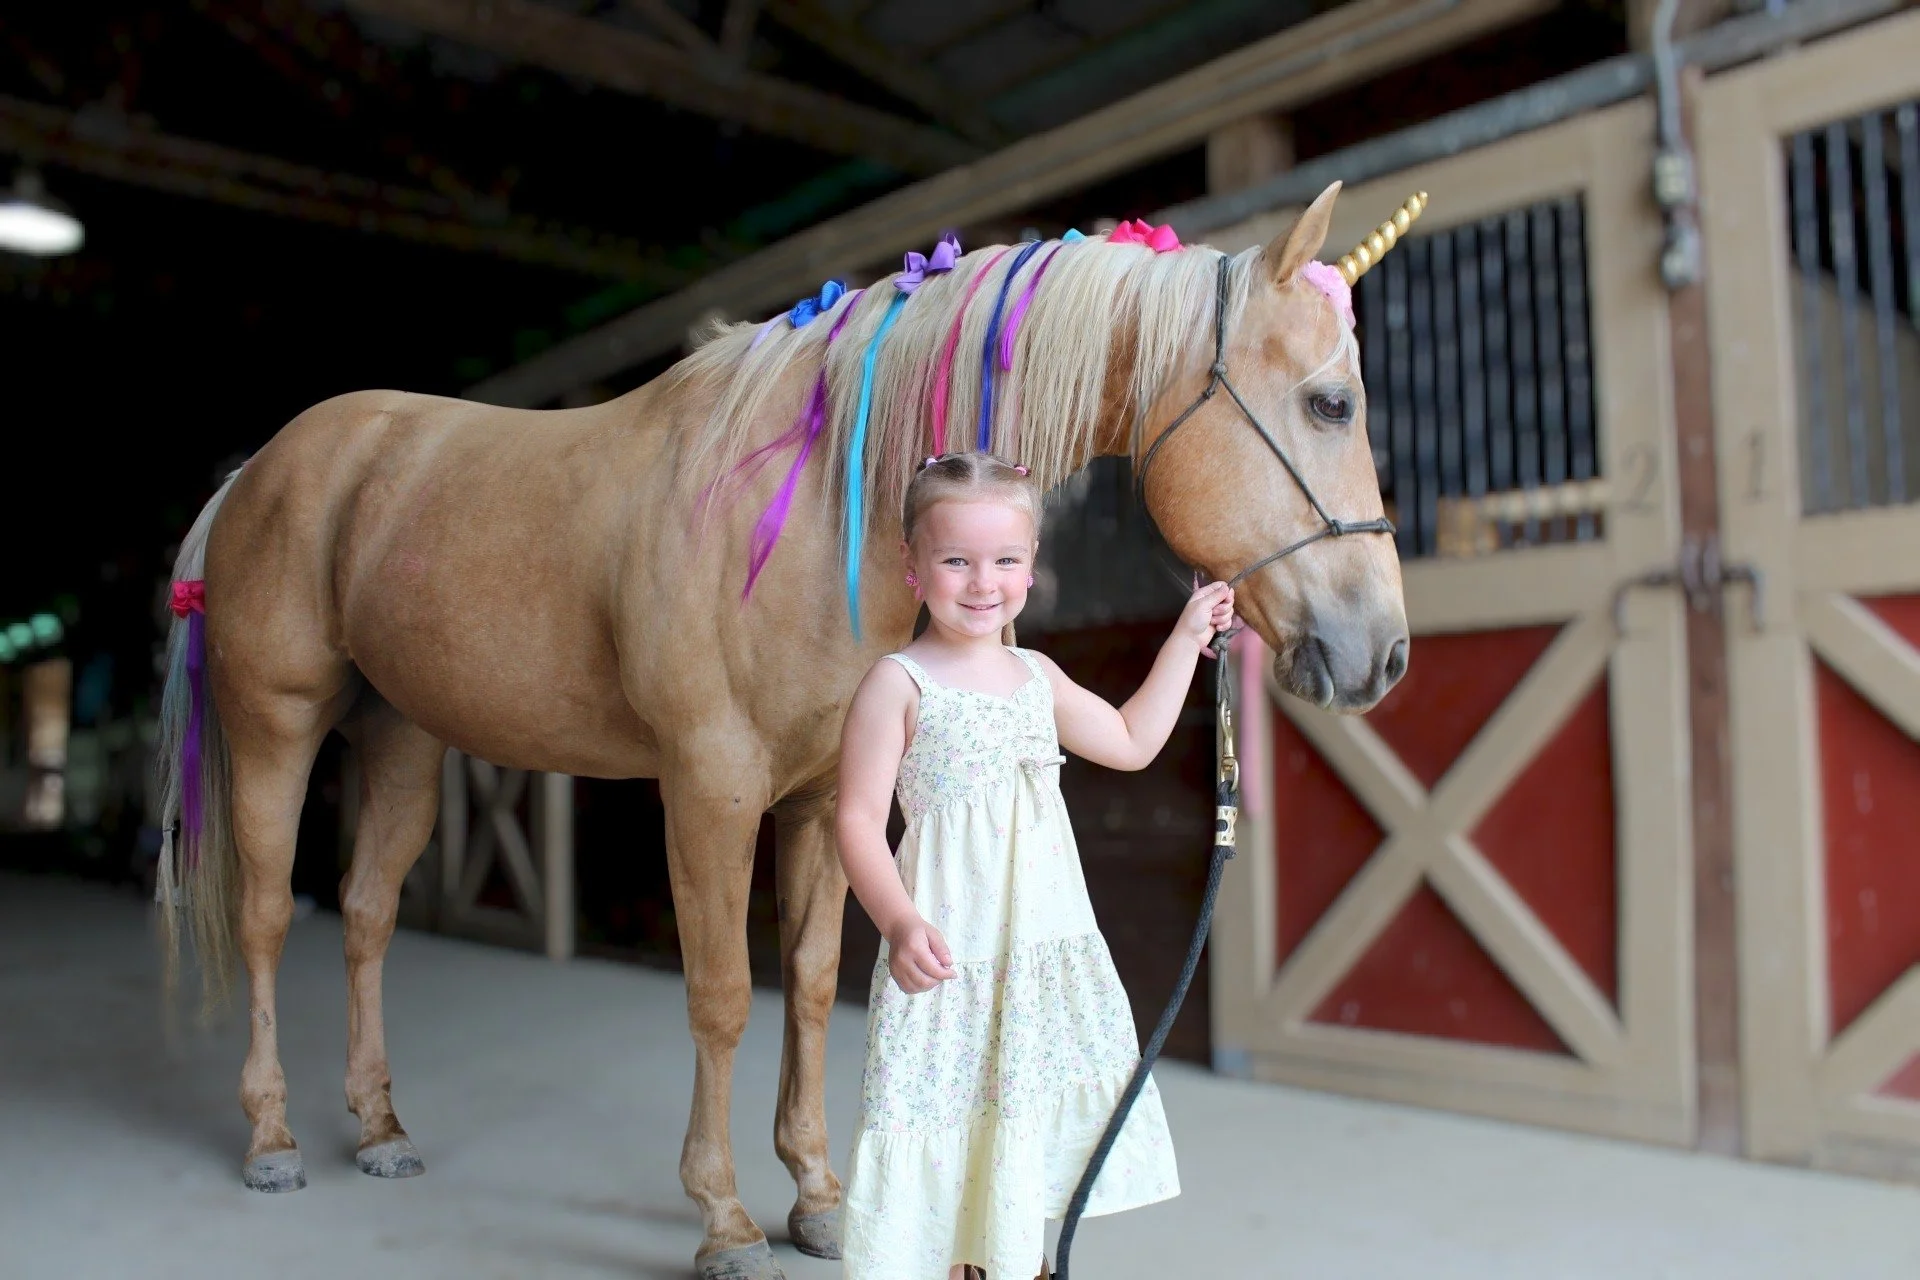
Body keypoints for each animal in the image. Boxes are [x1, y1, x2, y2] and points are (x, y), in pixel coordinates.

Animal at [153, 180, 1410, 1280]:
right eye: (1332, 403)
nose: (1382, 653)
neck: (815, 502)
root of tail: (257, 471)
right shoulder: (709, 788)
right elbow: (720, 994)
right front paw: (723, 1219)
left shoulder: (819, 794)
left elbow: (805, 984)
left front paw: (816, 1198)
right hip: (277, 729)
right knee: (270, 918)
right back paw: (272, 1140)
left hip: (404, 740)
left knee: (366, 915)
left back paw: (379, 1127)